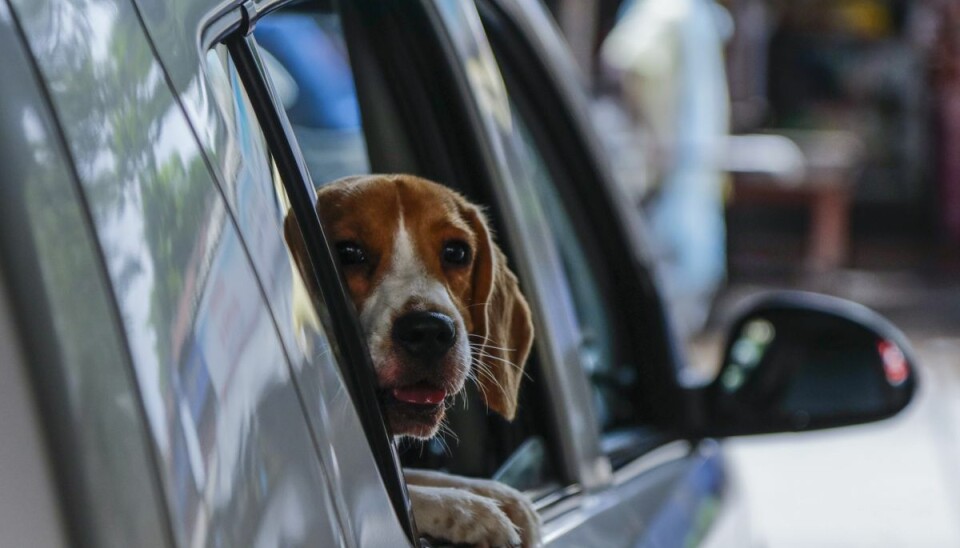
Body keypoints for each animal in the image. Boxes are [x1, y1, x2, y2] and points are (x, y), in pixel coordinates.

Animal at [284, 174, 540, 548]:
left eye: (456, 252)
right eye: (347, 253)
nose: (429, 331)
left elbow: (431, 475)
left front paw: (501, 496)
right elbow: (416, 494)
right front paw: (468, 509)